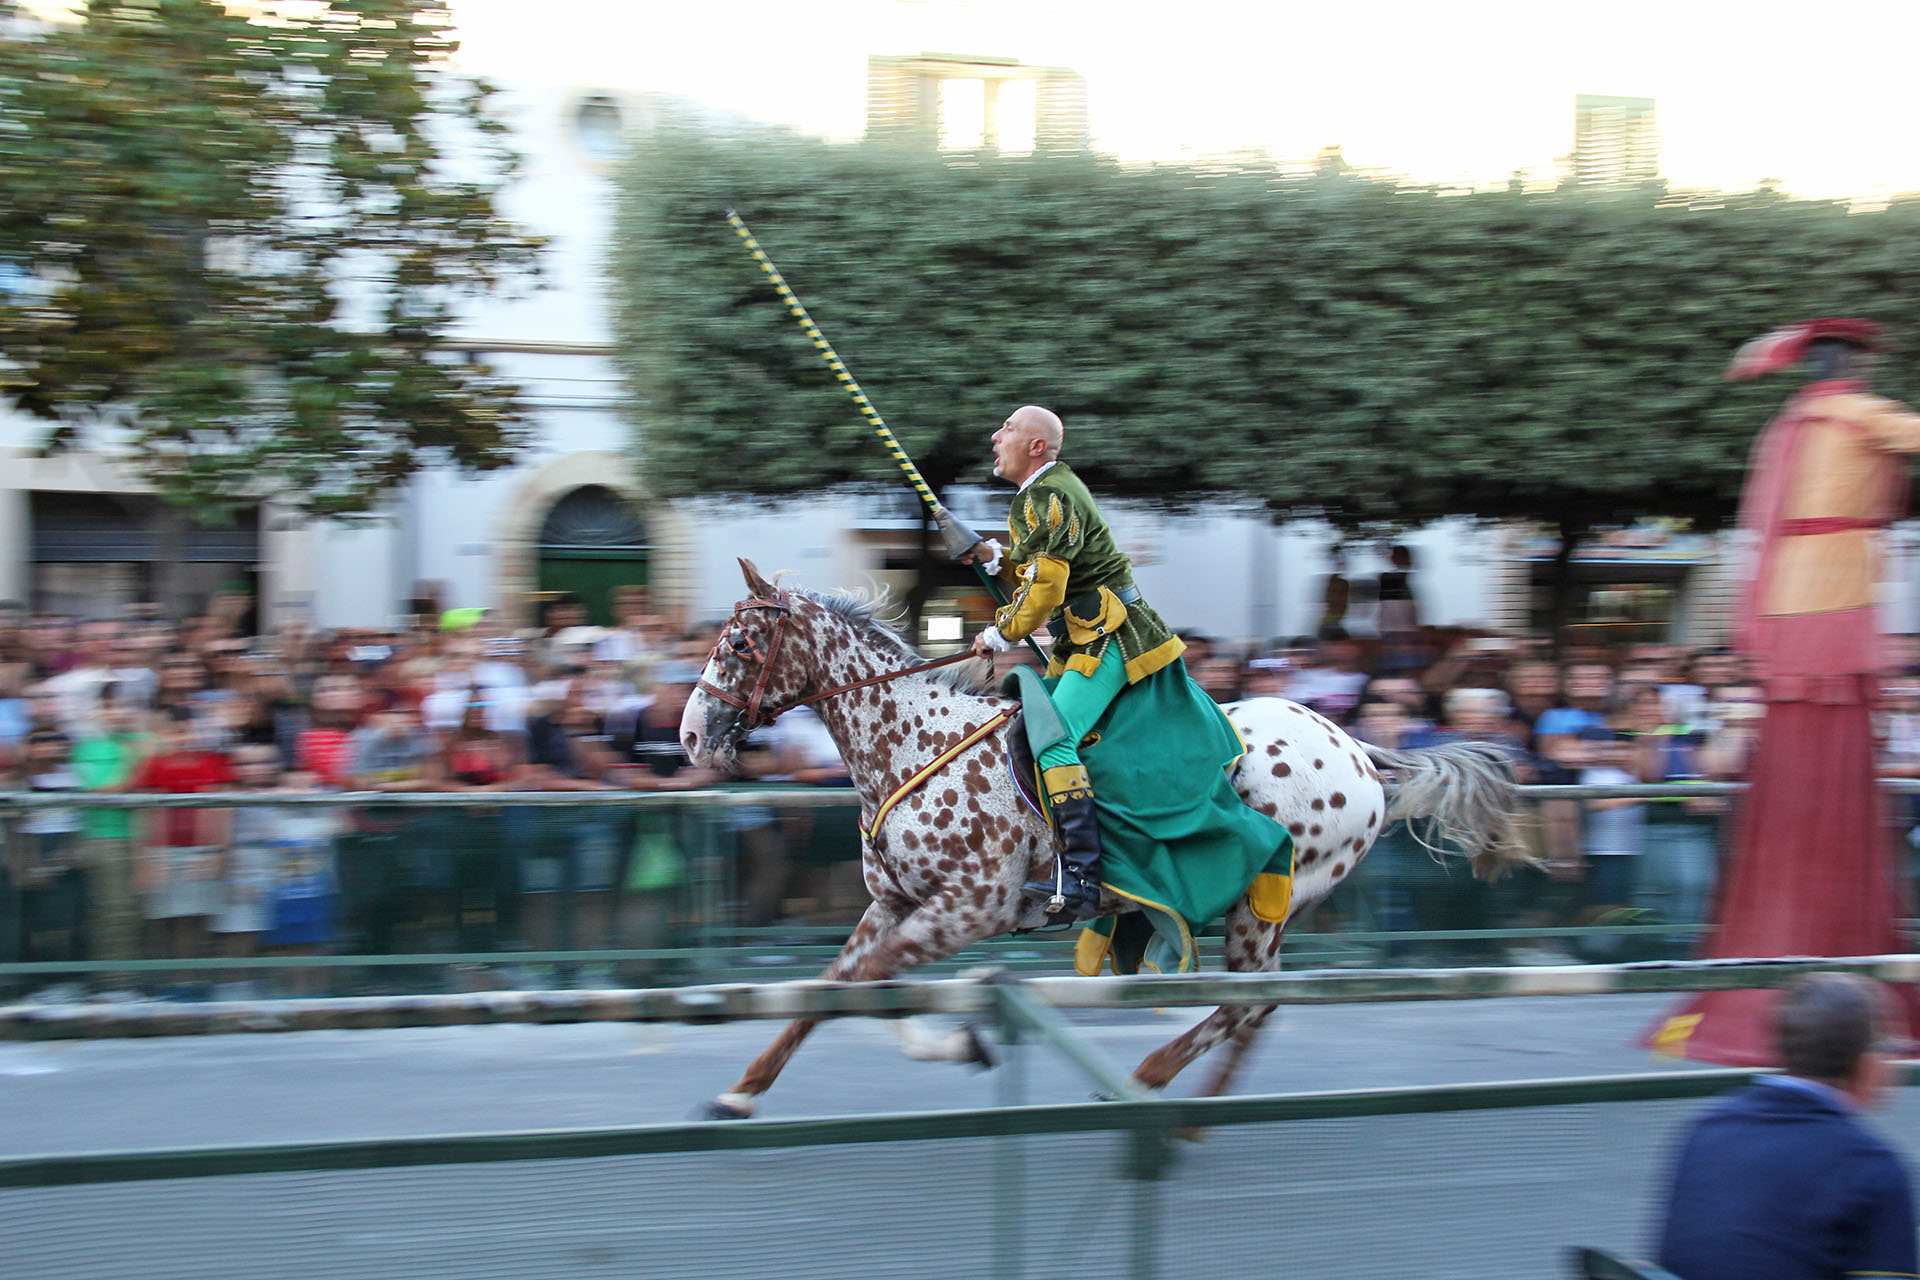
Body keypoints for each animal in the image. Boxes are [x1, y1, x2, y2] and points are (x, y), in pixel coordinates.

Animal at [683, 556, 1520, 1113]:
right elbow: (834, 986)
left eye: (741, 645)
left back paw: (1150, 1080)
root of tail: (1359, 751)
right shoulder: (893, 904)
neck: (912, 746)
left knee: (1249, 1006)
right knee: (1259, 1008)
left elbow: (874, 984)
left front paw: (959, 1039)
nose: (690, 734)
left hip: (1260, 909)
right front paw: (744, 1091)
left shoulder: (971, 908)